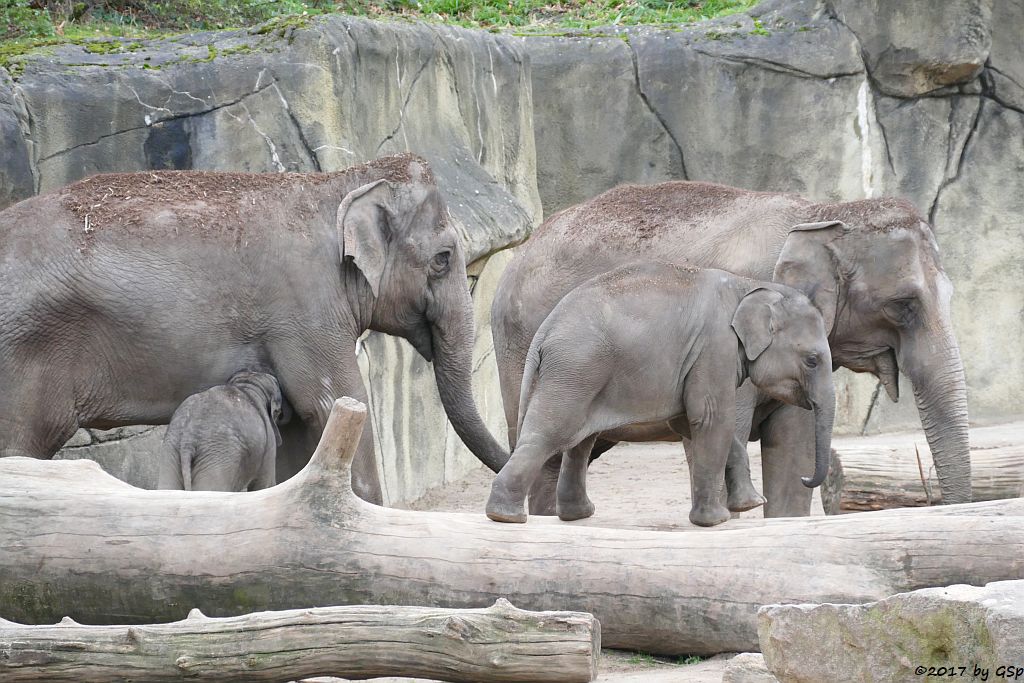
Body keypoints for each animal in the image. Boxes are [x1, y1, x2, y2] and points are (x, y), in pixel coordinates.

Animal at [159, 370, 288, 493]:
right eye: (278, 411)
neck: (248, 385)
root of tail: (188, 437)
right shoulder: (269, 443)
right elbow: (264, 484)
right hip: (218, 455)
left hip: (172, 448)